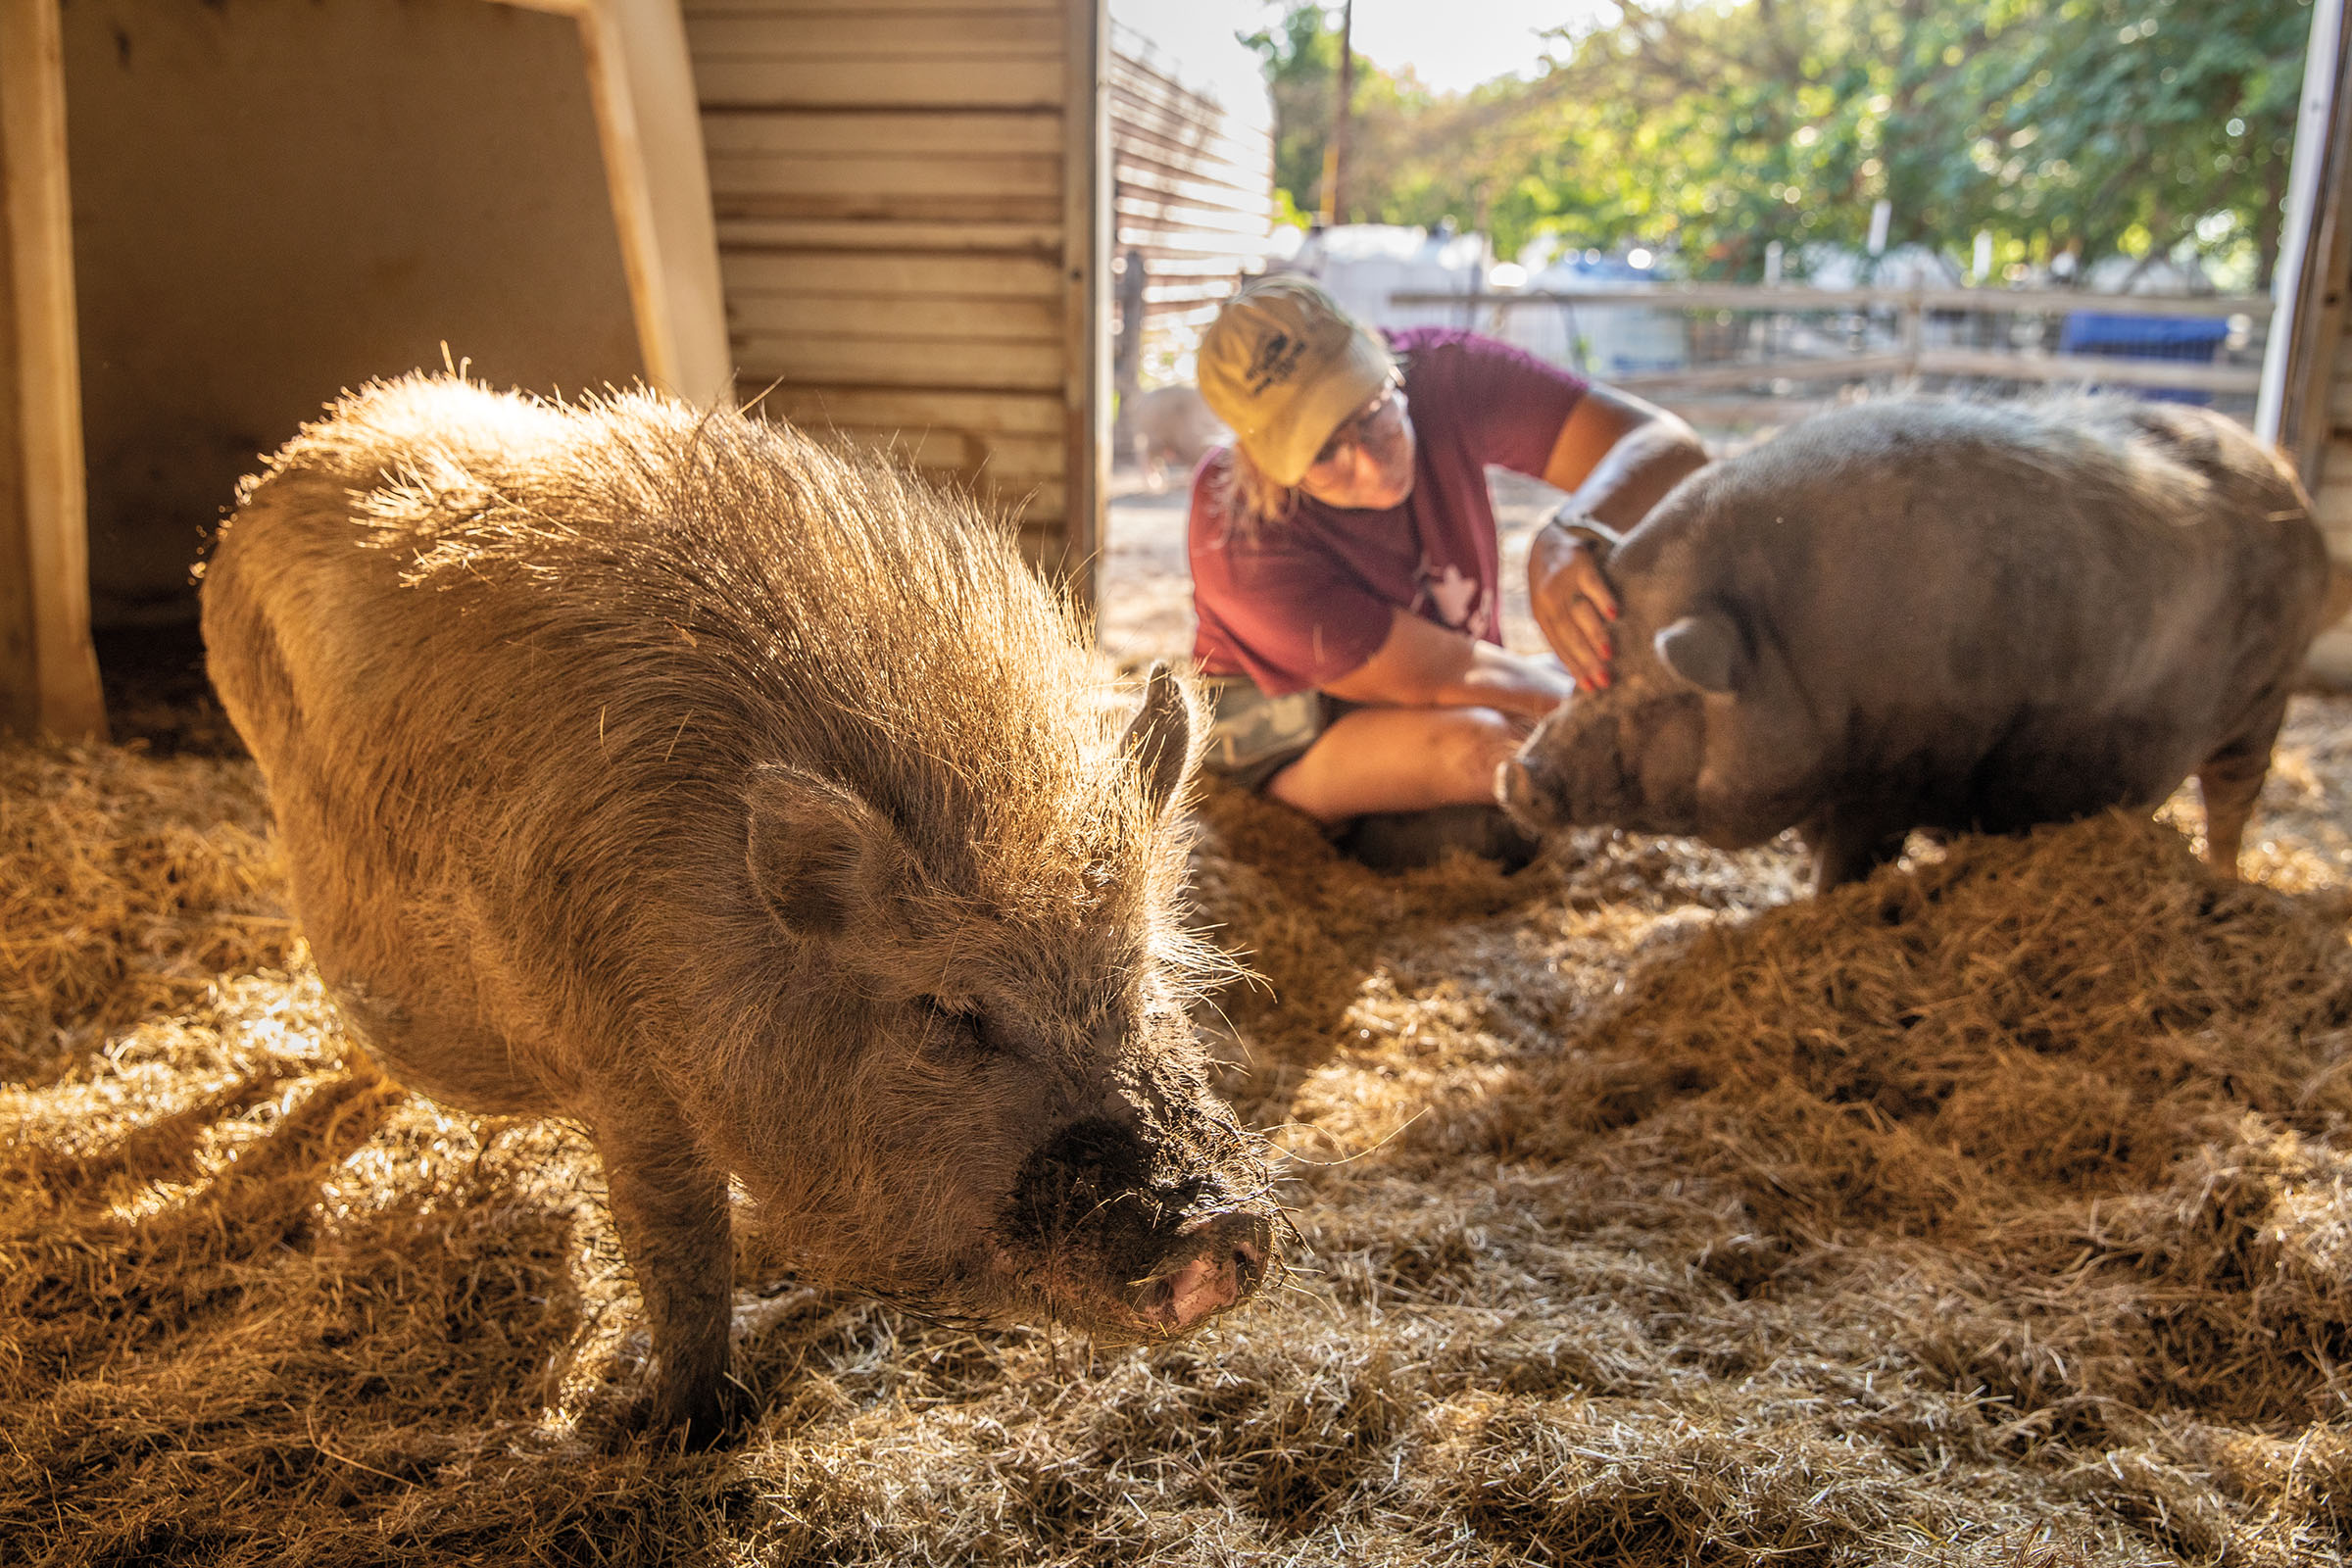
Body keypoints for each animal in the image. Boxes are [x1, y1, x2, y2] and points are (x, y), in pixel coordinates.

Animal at [204, 380, 1279, 1447]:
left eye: (1138, 974)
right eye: (953, 1012)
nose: (1222, 1224)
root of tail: (297, 454)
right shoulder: (625, 1074)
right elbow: (680, 1245)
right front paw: (692, 1433)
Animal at [1505, 399, 2332, 893]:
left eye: (1656, 692)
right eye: (1586, 668)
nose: (1517, 774)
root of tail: (2292, 485)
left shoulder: (1892, 777)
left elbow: (1847, 867)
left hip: (2265, 701)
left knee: (2232, 803)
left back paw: (2224, 885)